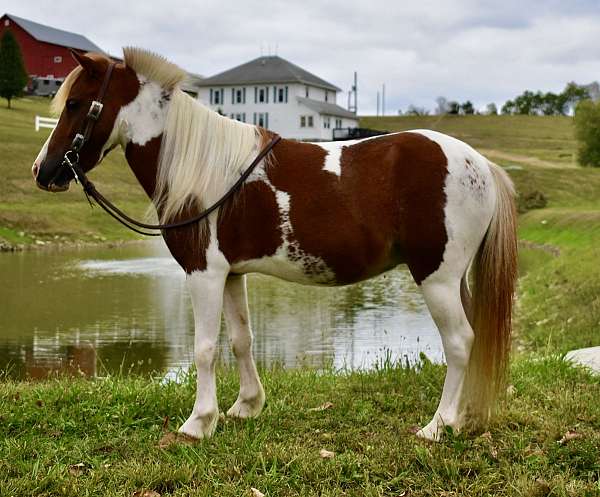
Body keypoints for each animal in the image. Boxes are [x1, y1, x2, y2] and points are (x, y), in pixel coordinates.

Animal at [32, 47, 516, 442]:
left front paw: (198, 423)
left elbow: (204, 348)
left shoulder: (203, 273)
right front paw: (245, 406)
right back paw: (462, 418)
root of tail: (481, 165)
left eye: (74, 104)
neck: (204, 168)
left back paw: (437, 426)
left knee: (459, 342)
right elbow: (241, 340)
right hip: (455, 280)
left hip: (436, 278)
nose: (43, 170)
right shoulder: (231, 274)